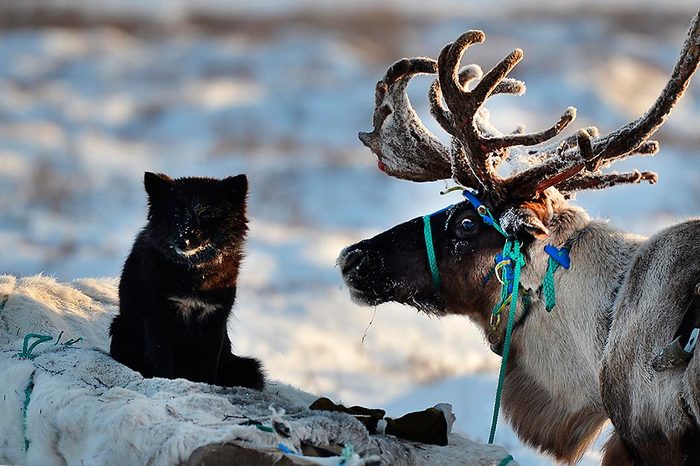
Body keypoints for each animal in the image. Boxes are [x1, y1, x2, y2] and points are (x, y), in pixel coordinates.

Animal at [112, 171, 266, 390]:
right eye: (176, 215)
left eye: (206, 216)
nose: (182, 241)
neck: (194, 273)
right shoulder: (158, 316)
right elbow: (161, 360)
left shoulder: (213, 319)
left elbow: (206, 366)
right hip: (120, 329)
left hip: (247, 366)